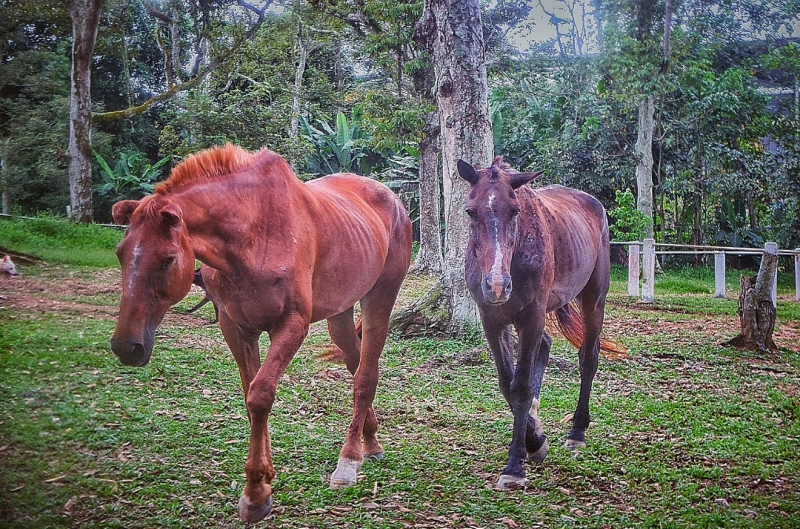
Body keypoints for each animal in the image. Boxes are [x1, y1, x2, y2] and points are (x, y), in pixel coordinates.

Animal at [111, 144, 412, 520]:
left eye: (167, 259)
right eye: (120, 254)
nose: (126, 346)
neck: (253, 234)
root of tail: (392, 198)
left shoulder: (291, 325)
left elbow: (260, 395)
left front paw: (255, 492)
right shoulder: (236, 327)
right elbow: (250, 395)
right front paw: (263, 481)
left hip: (379, 300)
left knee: (366, 376)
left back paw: (349, 459)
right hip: (340, 314)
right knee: (355, 365)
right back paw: (370, 440)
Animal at [456, 157, 624, 490]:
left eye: (515, 211)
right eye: (471, 211)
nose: (497, 286)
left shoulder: (531, 316)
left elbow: (519, 386)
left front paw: (515, 464)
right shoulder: (492, 320)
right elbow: (507, 384)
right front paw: (534, 440)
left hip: (594, 298)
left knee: (589, 357)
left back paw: (577, 432)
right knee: (545, 346)